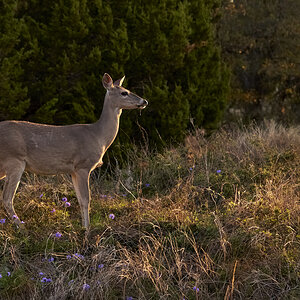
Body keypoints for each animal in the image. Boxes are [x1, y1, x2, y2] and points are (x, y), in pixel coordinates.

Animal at [0, 74, 148, 229]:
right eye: (124, 92)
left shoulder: (73, 171)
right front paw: (87, 229)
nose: (144, 101)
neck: (98, 136)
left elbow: (80, 199)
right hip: (14, 160)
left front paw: (83, 227)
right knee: (7, 198)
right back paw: (22, 228)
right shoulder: (82, 165)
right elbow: (86, 200)